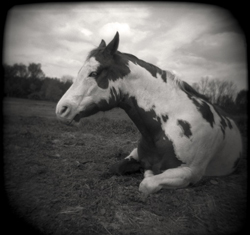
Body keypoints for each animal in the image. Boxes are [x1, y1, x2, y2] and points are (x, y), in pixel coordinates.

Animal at [56, 32, 242, 196]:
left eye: (94, 73)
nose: (61, 109)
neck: (166, 127)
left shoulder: (190, 173)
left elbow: (147, 183)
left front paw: (148, 173)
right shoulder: (136, 154)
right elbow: (116, 168)